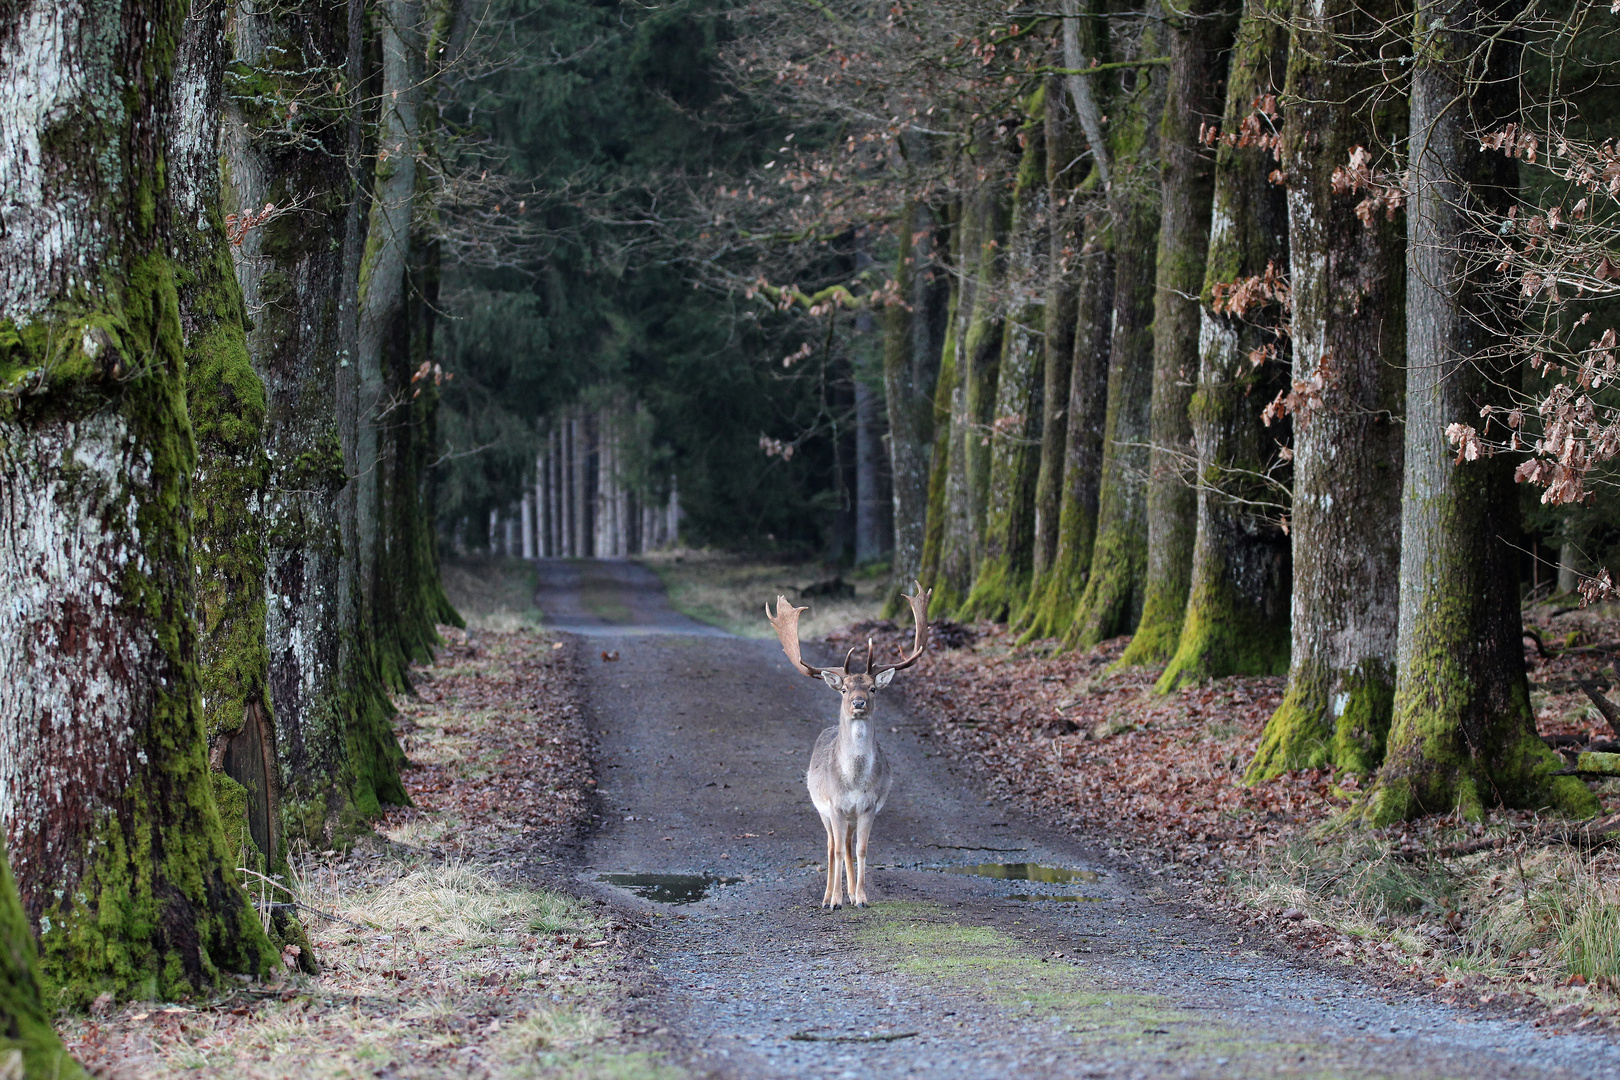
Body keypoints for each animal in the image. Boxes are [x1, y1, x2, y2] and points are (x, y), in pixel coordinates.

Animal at [764, 586, 933, 906]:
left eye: (873, 688)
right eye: (844, 689)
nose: (858, 703)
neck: (853, 782)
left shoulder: (869, 807)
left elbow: (861, 850)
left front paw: (862, 896)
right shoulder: (834, 805)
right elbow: (838, 850)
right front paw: (835, 900)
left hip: (850, 816)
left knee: (848, 843)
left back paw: (852, 894)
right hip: (821, 808)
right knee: (833, 845)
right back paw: (828, 896)